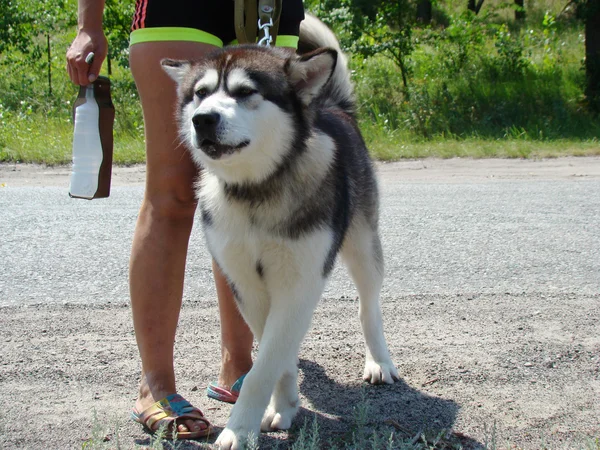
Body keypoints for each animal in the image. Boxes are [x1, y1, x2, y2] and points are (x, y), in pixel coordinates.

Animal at [163, 14, 398, 450]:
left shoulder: (299, 281)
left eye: (245, 92)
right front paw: (285, 404)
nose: (202, 119)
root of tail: (332, 107)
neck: (256, 192)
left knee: (368, 306)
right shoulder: (246, 285)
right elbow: (273, 355)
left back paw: (380, 360)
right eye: (200, 94)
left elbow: (262, 368)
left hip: (362, 247)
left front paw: (239, 429)